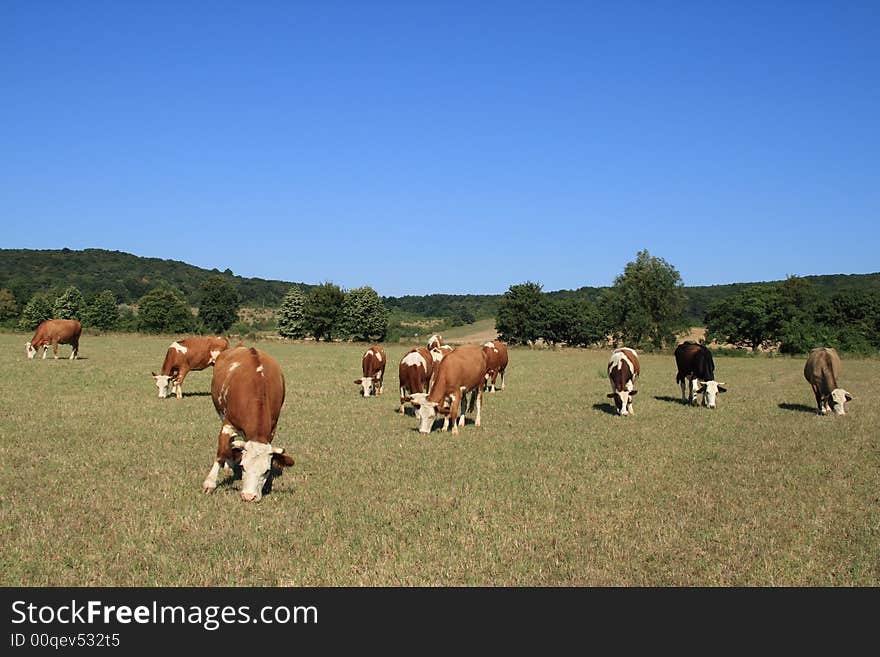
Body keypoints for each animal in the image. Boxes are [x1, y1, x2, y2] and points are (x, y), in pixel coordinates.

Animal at [201, 344, 294, 502]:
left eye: (266, 471)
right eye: (243, 467)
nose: (249, 496)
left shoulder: (272, 429)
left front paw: (268, 484)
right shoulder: (228, 424)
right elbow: (221, 452)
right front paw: (210, 483)